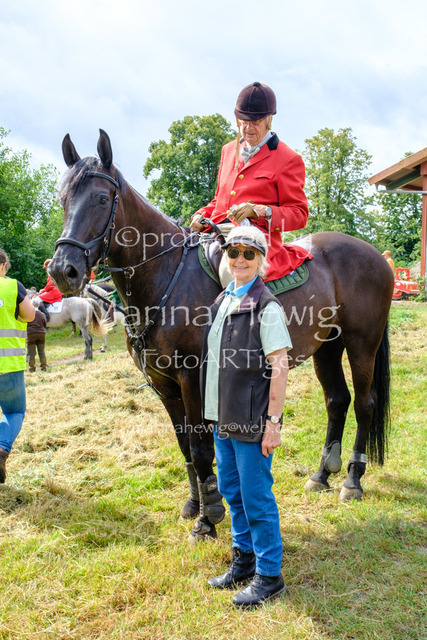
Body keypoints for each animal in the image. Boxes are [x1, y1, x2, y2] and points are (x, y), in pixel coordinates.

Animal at [49, 130, 394, 542]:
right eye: (64, 199)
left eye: (102, 199)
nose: (63, 270)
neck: (164, 275)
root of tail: (372, 253)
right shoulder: (164, 385)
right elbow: (184, 445)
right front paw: (194, 504)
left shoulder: (191, 378)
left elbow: (200, 447)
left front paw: (208, 517)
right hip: (326, 347)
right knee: (337, 401)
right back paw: (322, 474)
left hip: (361, 345)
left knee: (364, 403)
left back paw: (352, 481)